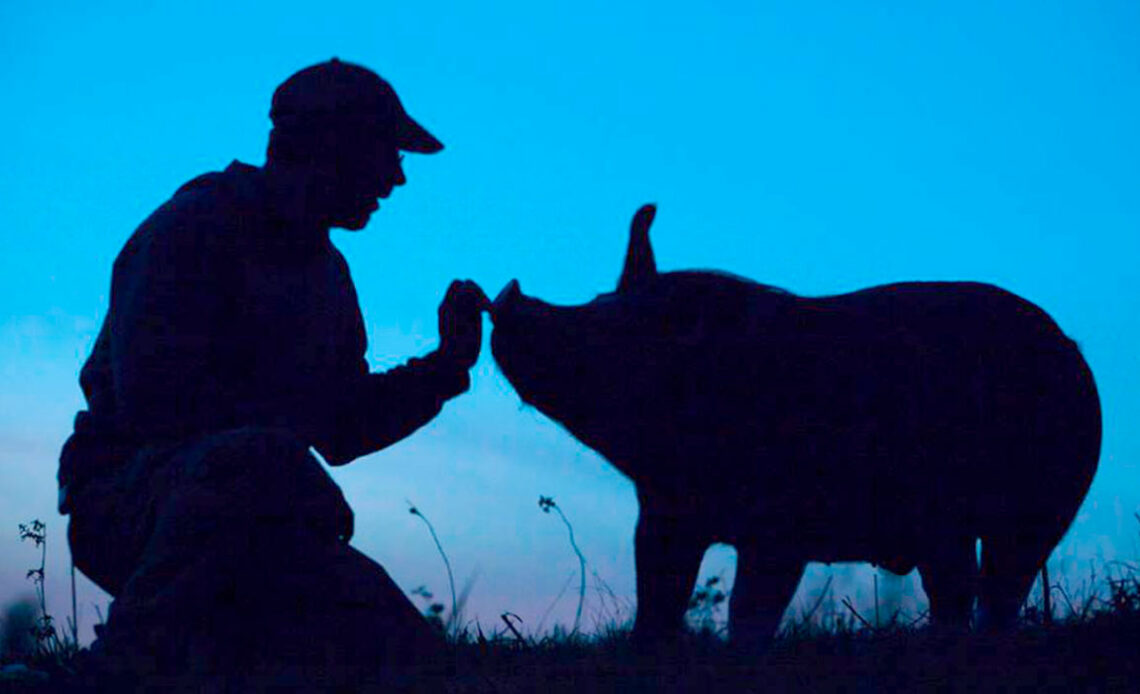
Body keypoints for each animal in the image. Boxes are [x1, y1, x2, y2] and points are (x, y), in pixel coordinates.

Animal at [492, 202, 1103, 647]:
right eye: (597, 301)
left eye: (614, 331)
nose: (506, 296)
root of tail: (1069, 351)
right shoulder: (666, 513)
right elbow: (657, 594)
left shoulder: (780, 526)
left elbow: (750, 606)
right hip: (953, 526)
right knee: (958, 585)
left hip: (1038, 506)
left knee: (998, 586)